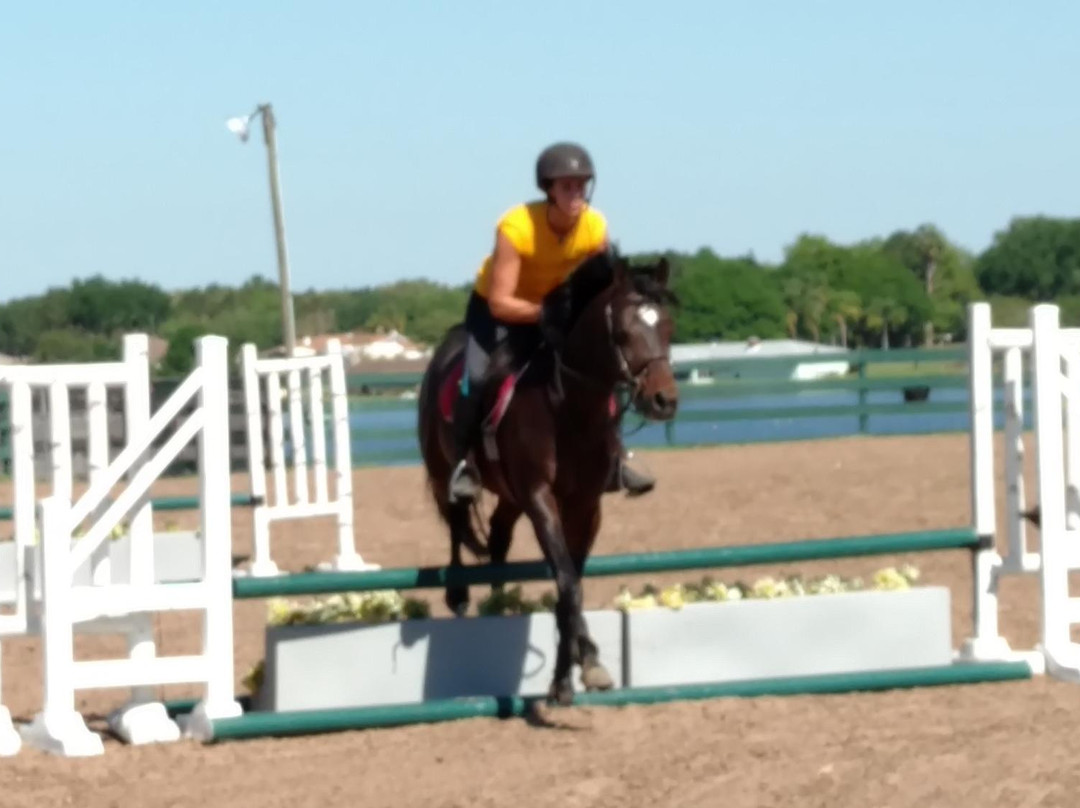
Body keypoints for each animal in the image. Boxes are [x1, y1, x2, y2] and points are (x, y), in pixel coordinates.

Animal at [417, 248, 680, 705]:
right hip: (442, 469)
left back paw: (501, 602)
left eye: (666, 327)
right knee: (455, 518)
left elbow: (570, 582)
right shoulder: (542, 500)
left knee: (499, 537)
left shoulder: (585, 506)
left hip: (509, 495)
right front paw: (561, 682)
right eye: (624, 332)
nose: (664, 400)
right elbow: (567, 585)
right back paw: (459, 593)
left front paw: (586, 661)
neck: (569, 408)